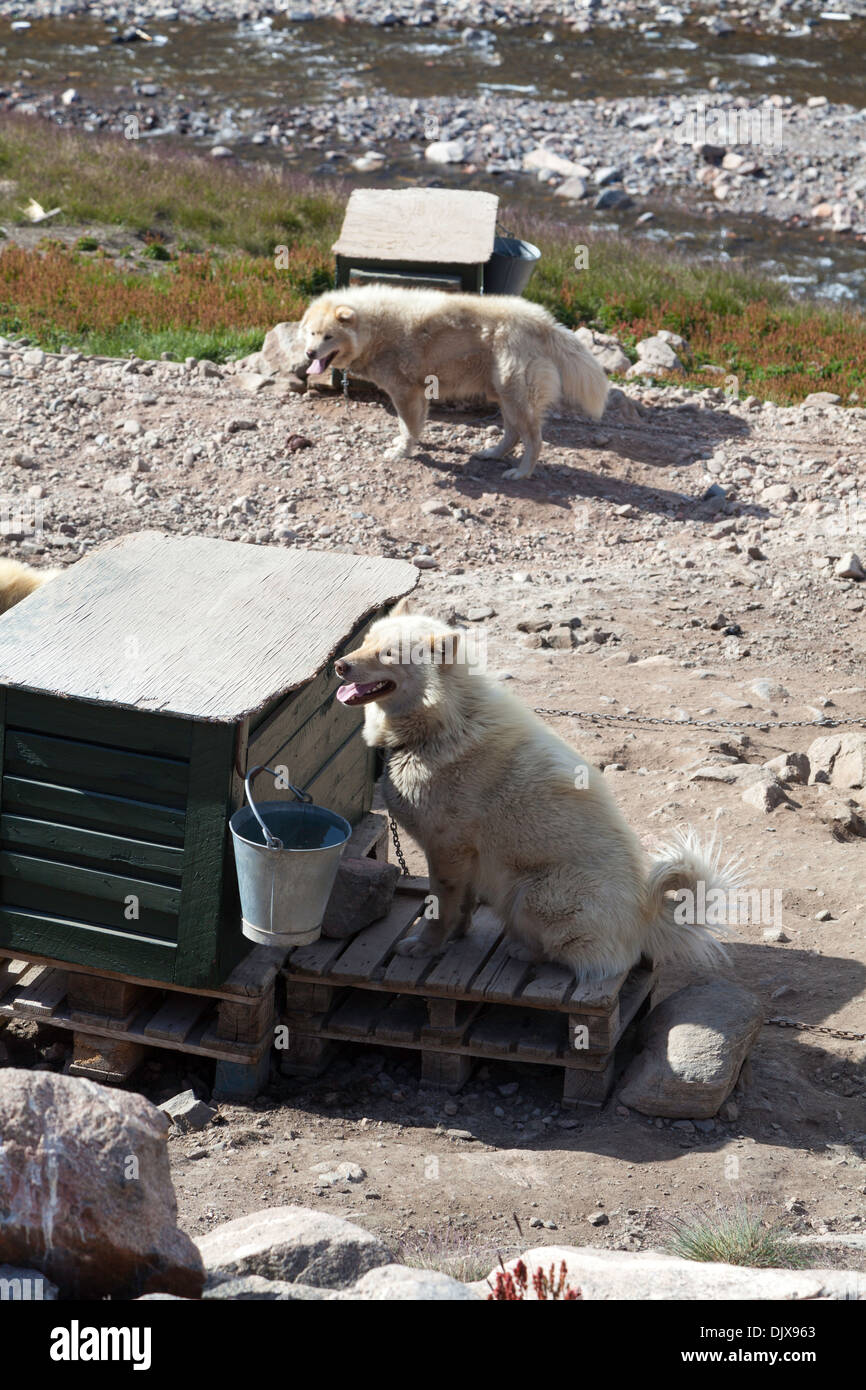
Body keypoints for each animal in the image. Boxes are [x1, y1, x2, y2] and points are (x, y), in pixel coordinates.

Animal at [335, 603, 739, 984]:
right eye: (367, 641)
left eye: (388, 654)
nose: (339, 666)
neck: (442, 725)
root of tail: (645, 919)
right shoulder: (465, 858)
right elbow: (462, 906)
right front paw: (456, 936)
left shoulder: (447, 850)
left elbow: (440, 908)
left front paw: (425, 946)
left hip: (530, 892)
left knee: (580, 957)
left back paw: (524, 951)